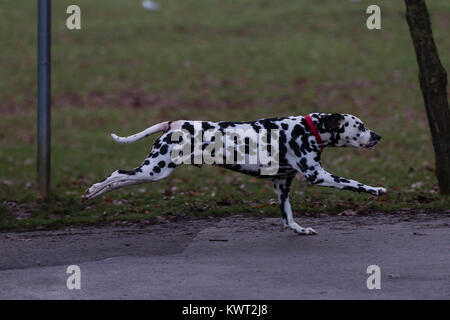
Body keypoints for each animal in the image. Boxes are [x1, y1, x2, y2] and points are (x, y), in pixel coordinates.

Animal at [82, 112, 384, 235]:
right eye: (360, 126)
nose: (378, 136)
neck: (306, 129)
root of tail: (176, 123)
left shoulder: (281, 184)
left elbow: (287, 218)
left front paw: (299, 229)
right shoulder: (318, 175)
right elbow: (354, 183)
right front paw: (376, 189)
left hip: (152, 171)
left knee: (120, 178)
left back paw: (95, 192)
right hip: (154, 170)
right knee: (117, 174)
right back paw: (94, 189)